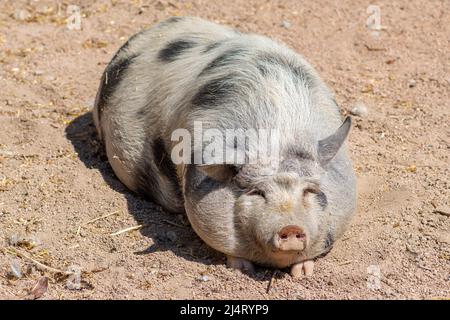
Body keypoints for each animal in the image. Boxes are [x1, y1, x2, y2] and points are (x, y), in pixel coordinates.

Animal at [93, 16, 356, 278]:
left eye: (309, 191)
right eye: (257, 192)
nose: (290, 227)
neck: (276, 137)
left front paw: (302, 272)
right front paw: (241, 267)